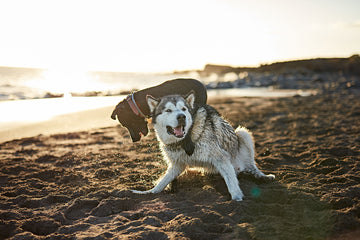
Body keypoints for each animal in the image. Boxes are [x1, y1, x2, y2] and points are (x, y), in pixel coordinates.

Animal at [132, 92, 276, 201]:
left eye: (183, 109)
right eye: (168, 110)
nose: (181, 117)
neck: (186, 138)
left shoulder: (221, 157)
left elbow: (232, 184)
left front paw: (237, 198)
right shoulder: (177, 165)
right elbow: (162, 182)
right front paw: (149, 192)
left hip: (242, 133)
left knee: (251, 166)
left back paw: (262, 176)